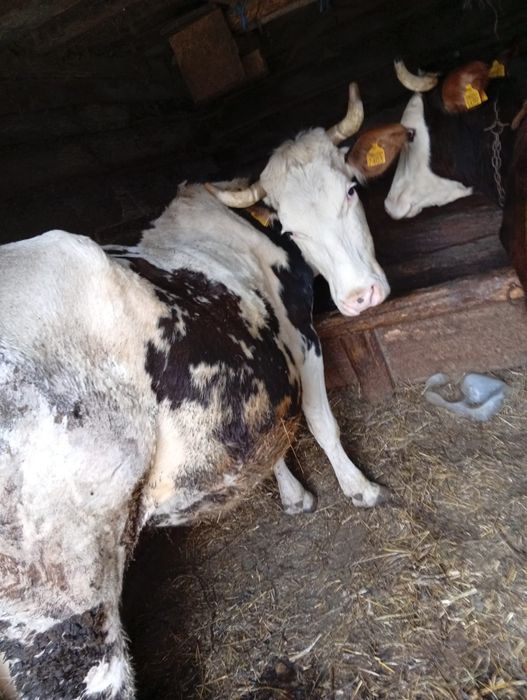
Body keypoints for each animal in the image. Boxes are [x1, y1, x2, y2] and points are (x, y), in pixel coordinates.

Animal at [0, 82, 391, 699]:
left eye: (351, 188)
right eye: (290, 229)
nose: (360, 297)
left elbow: (270, 441)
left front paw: (293, 496)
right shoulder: (298, 330)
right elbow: (317, 419)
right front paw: (359, 488)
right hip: (67, 617)